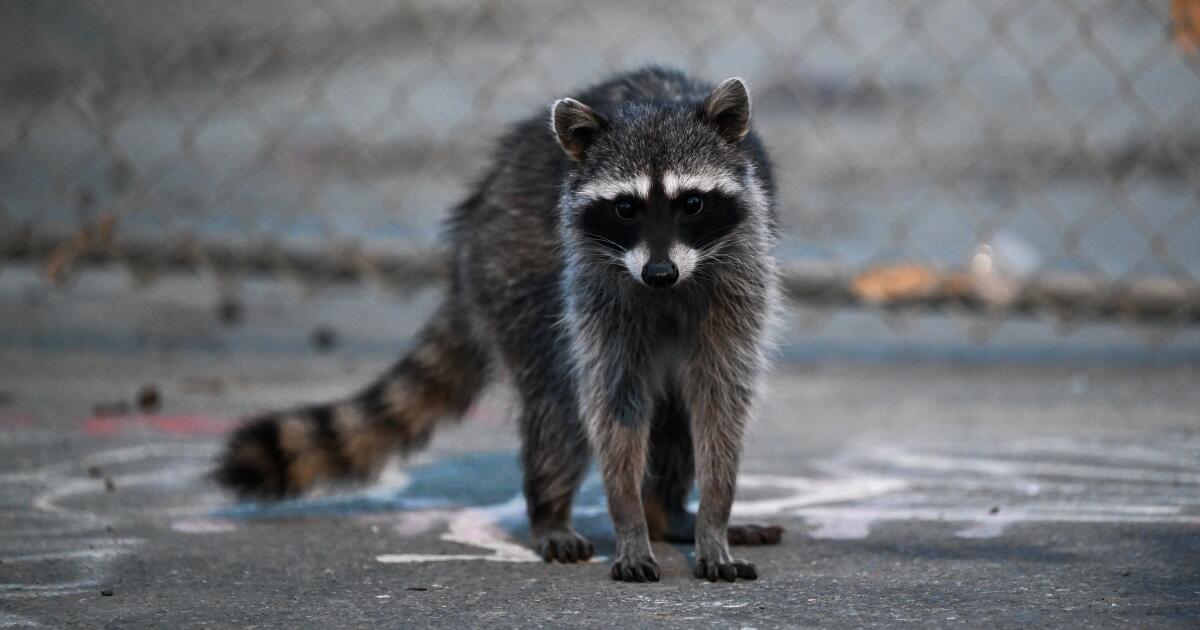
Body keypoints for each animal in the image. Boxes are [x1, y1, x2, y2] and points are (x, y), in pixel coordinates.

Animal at [216, 67, 783, 583]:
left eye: (693, 203)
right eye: (626, 207)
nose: (659, 273)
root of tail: (478, 210)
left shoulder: (741, 277)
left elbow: (719, 399)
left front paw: (713, 517)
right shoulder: (595, 287)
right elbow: (612, 402)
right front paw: (628, 521)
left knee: (672, 410)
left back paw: (667, 513)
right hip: (516, 266)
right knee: (557, 401)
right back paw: (554, 512)